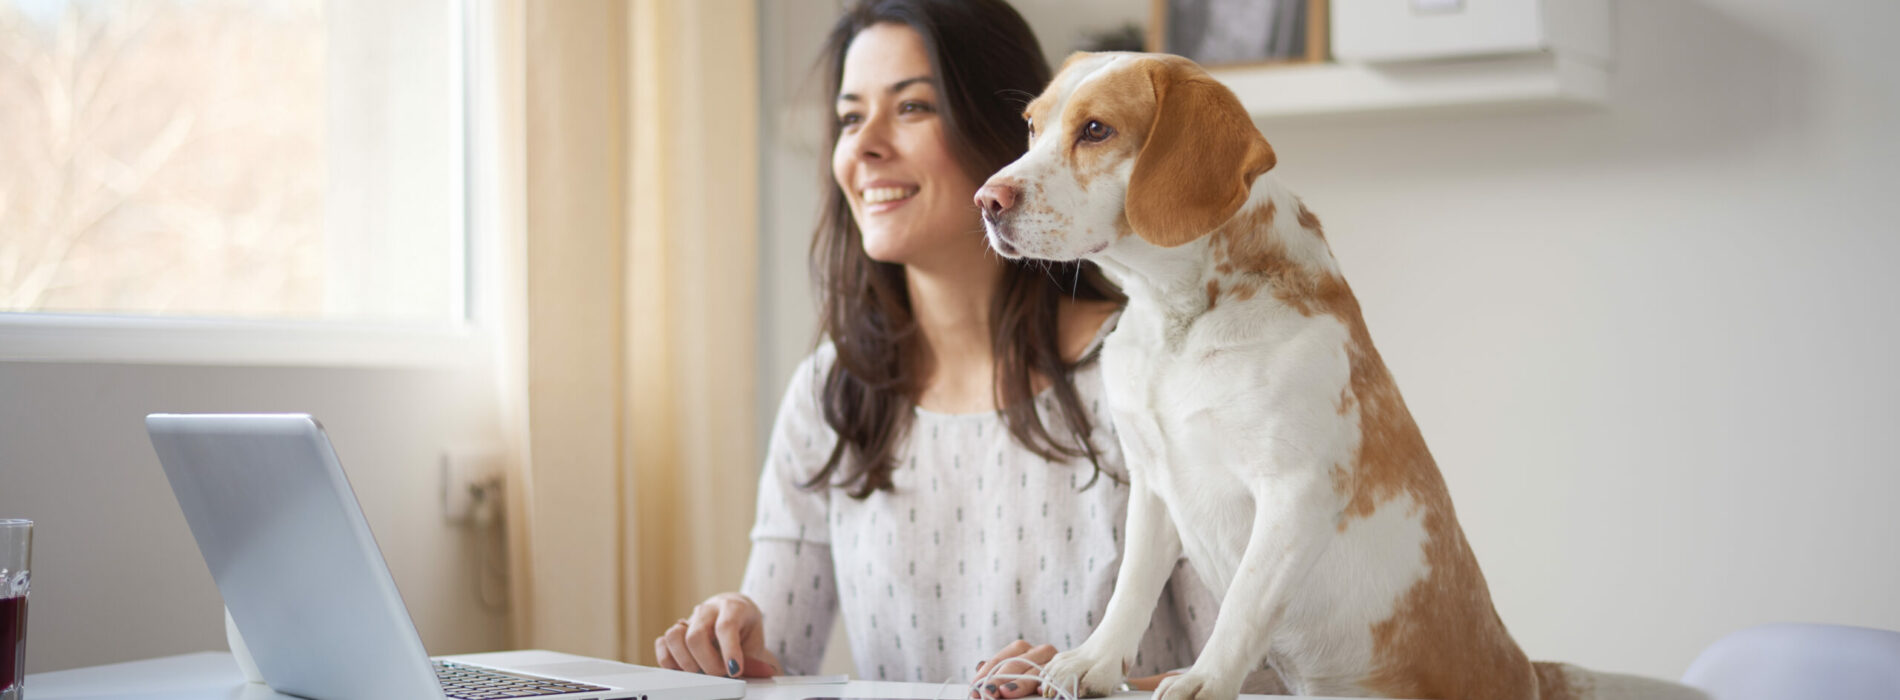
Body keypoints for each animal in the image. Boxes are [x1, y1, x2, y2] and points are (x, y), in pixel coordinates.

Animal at [980, 53, 1710, 700]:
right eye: (1032, 125)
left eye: (1096, 130)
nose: (986, 200)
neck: (1177, 326)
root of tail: (1530, 671)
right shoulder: (1153, 484)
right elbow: (1130, 591)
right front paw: (1093, 663)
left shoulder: (1294, 490)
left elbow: (1242, 604)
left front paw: (1204, 681)